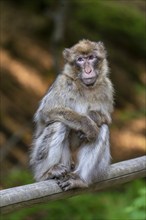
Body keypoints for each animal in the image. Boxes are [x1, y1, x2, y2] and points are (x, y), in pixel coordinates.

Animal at [30, 39, 114, 191]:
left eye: (91, 57)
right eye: (80, 60)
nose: (88, 70)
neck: (86, 87)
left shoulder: (107, 87)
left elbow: (106, 117)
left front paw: (93, 117)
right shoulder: (63, 83)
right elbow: (47, 111)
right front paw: (88, 125)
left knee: (103, 128)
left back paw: (79, 179)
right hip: (42, 158)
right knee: (58, 124)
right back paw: (47, 172)